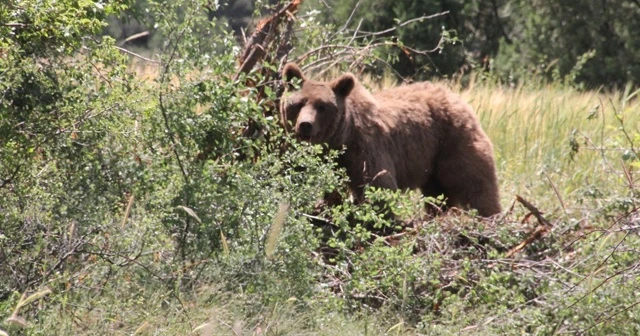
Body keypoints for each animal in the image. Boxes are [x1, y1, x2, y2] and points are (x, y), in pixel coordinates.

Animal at [282, 62, 502, 218]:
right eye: (298, 103)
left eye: (322, 106)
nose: (305, 124)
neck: (341, 139)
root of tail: (457, 98)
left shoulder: (365, 148)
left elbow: (379, 185)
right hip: (431, 158)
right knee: (438, 192)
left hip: (453, 140)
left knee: (474, 181)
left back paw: (490, 215)